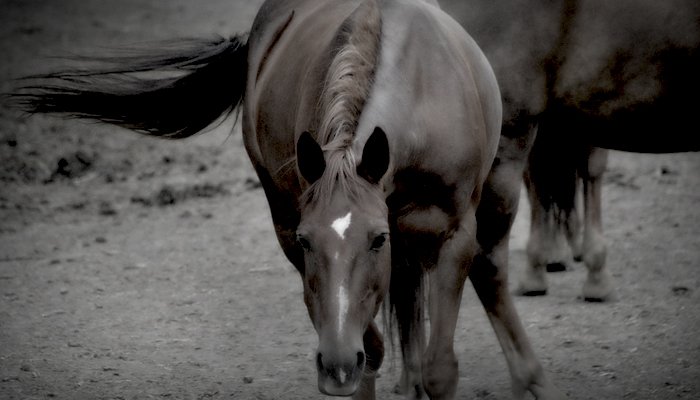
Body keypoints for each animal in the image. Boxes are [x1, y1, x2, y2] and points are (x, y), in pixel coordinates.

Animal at [10, 0, 567, 398]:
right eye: (305, 240)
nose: (333, 365)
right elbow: (371, 350)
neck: (420, 97)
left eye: (376, 238)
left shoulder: (452, 237)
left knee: (485, 274)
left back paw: (531, 378)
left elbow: (440, 370)